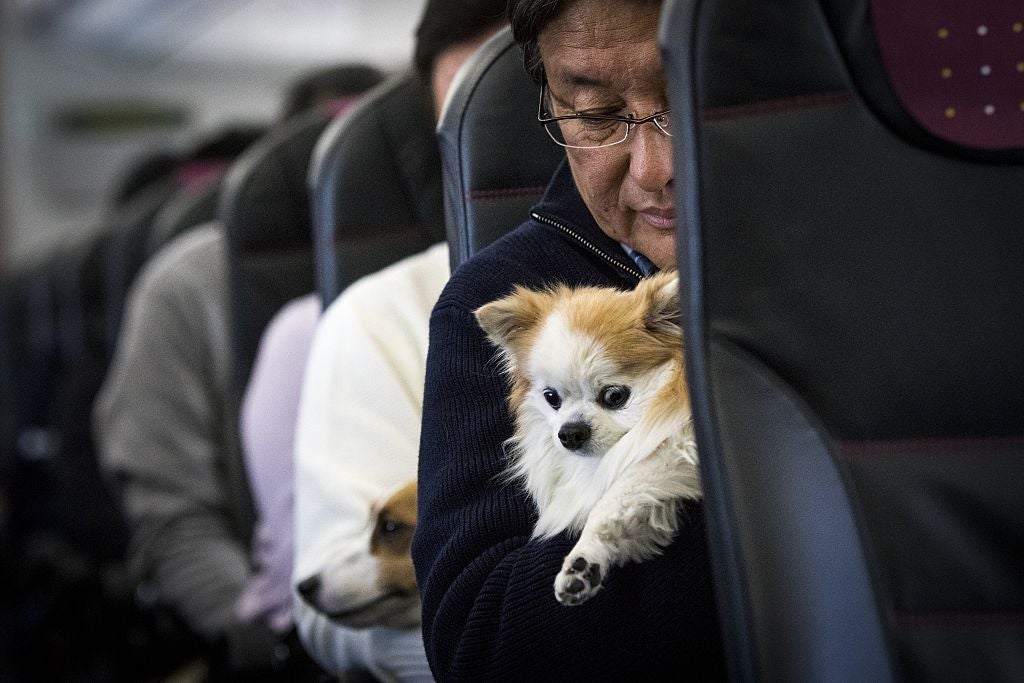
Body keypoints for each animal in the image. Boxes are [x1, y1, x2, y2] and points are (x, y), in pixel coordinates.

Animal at [473, 270, 700, 606]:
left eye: (615, 396)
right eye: (551, 398)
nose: (570, 433)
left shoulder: (670, 451)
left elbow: (615, 496)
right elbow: (621, 511)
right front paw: (585, 562)